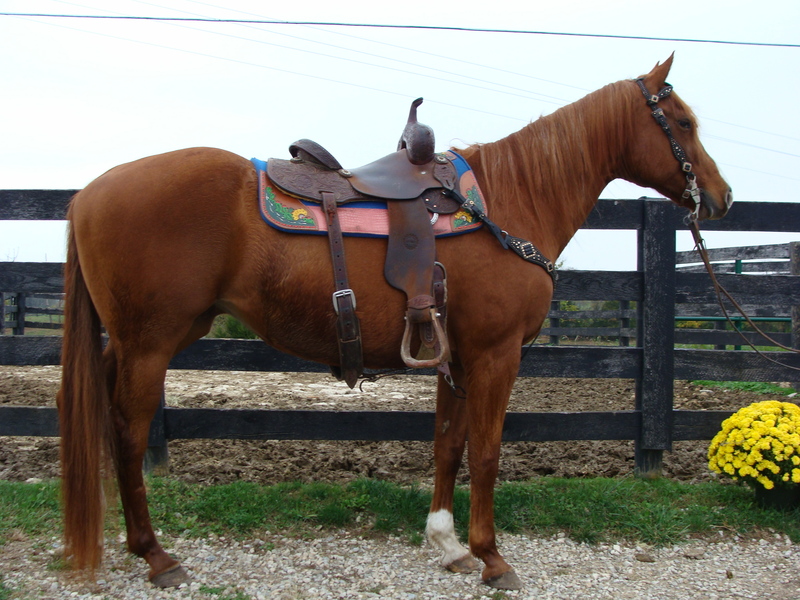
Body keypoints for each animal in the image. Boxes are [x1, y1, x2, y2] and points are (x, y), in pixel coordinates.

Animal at [57, 55, 732, 590]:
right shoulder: (496, 354)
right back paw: (156, 556)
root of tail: (88, 193)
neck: (508, 199)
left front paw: (449, 545)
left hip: (134, 343)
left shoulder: (456, 355)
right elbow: (487, 450)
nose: (722, 198)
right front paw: (492, 557)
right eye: (683, 123)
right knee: (128, 434)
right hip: (149, 346)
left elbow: (448, 443)